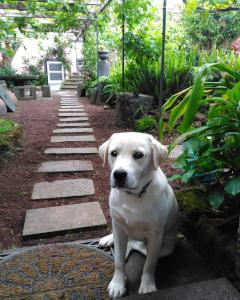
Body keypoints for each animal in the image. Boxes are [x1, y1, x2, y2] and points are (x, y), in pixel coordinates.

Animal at [98, 131, 179, 298]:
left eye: (138, 155)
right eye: (113, 153)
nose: (119, 174)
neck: (133, 195)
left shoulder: (155, 235)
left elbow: (149, 264)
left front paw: (147, 285)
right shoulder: (118, 225)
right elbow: (118, 261)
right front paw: (117, 282)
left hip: (166, 247)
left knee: (138, 246)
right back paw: (109, 239)